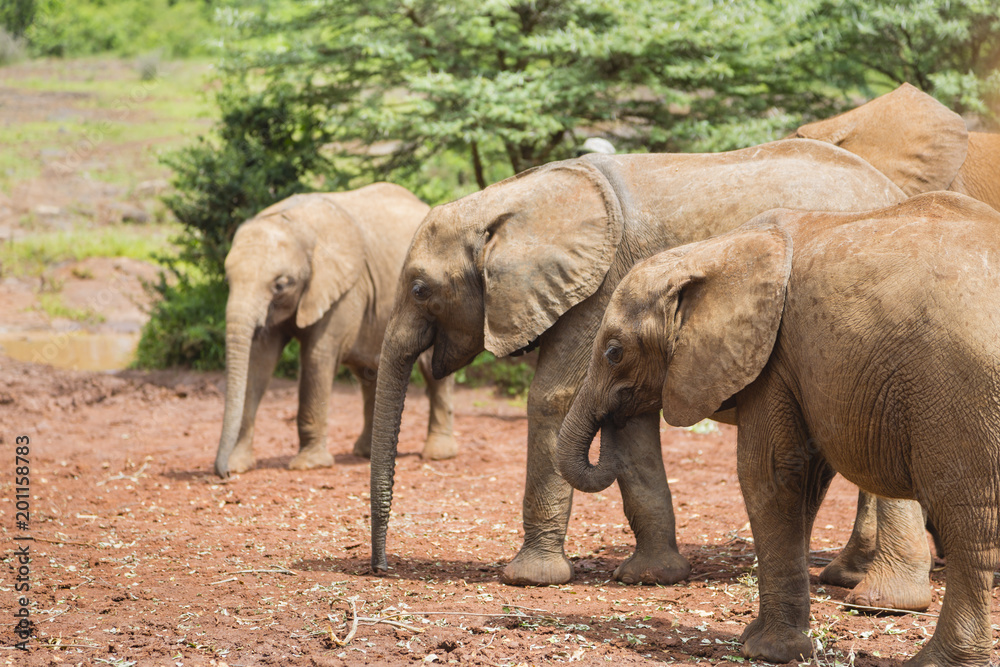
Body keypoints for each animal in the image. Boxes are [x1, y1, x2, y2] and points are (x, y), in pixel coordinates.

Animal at [214, 183, 456, 478]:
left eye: (281, 284)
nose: (223, 474)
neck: (296, 223)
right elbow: (258, 360)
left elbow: (317, 357)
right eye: (228, 281)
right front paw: (239, 464)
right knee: (371, 373)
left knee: (433, 372)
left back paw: (438, 454)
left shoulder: (344, 289)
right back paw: (364, 454)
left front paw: (309, 464)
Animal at [368, 137, 922, 592]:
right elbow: (628, 416)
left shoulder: (602, 288)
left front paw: (528, 579)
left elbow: (554, 399)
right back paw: (846, 575)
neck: (509, 200)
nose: (381, 569)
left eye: (419, 289)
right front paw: (653, 577)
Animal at [557, 191, 1000, 665]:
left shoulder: (772, 358)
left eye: (614, 352)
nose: (616, 417)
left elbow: (769, 473)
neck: (713, 250)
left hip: (961, 393)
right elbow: (807, 481)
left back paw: (937, 660)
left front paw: (766, 650)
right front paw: (767, 639)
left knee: (967, 526)